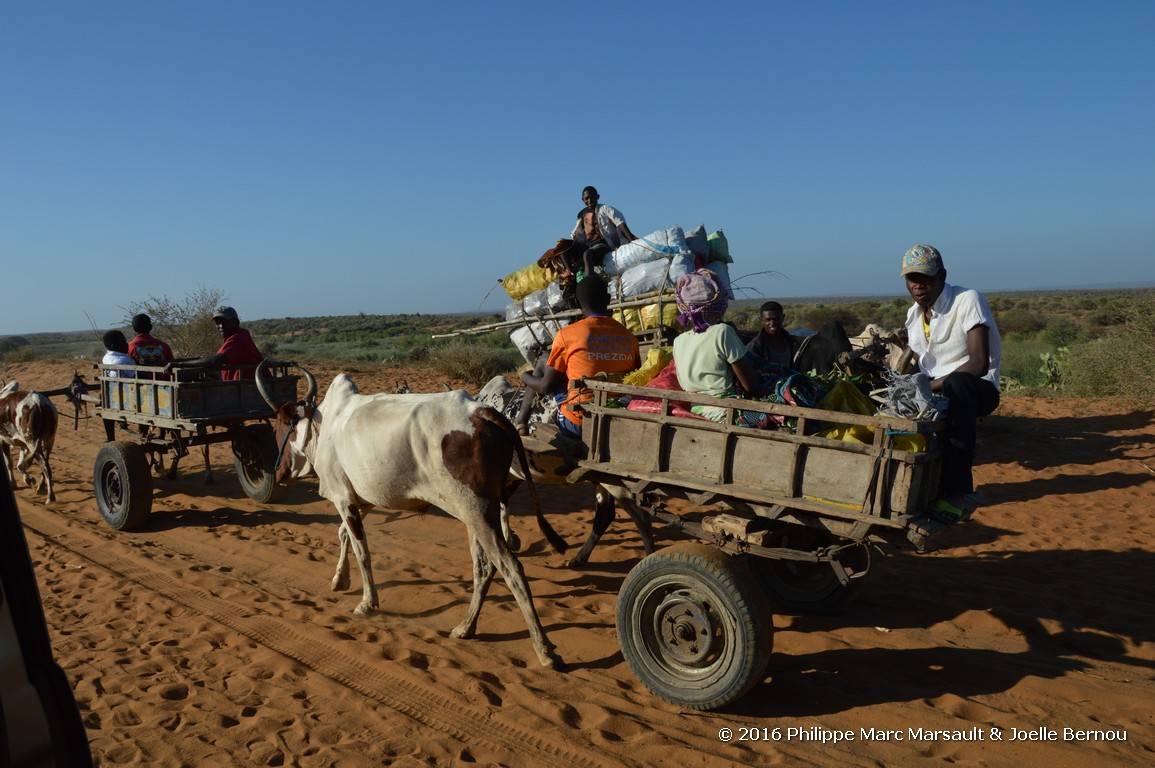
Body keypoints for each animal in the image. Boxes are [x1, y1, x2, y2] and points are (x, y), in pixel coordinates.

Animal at [259, 362, 570, 669]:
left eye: (280, 427)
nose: (279, 472)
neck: (325, 425)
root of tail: (482, 412)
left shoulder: (343, 497)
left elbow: (362, 550)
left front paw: (367, 602)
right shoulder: (364, 499)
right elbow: (342, 533)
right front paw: (340, 579)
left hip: (477, 510)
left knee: (510, 568)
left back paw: (544, 649)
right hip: (476, 514)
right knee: (483, 568)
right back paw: (466, 628)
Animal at [478, 374, 660, 565]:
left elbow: (500, 506)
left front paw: (509, 540)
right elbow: (502, 506)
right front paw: (511, 540)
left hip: (615, 482)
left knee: (641, 518)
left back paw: (649, 557)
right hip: (602, 480)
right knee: (607, 514)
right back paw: (580, 557)